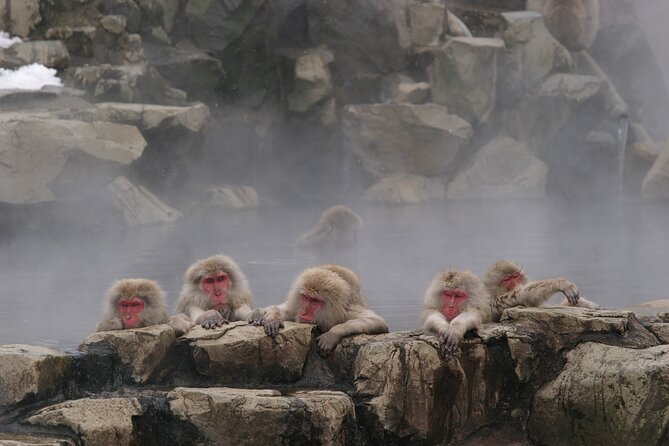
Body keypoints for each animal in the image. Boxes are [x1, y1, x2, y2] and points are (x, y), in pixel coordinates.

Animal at [249, 264, 388, 356]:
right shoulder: (297, 306)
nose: (303, 312)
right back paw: (259, 313)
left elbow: (378, 322)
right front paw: (273, 318)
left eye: (315, 301)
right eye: (306, 297)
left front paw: (333, 333)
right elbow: (287, 312)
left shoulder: (346, 312)